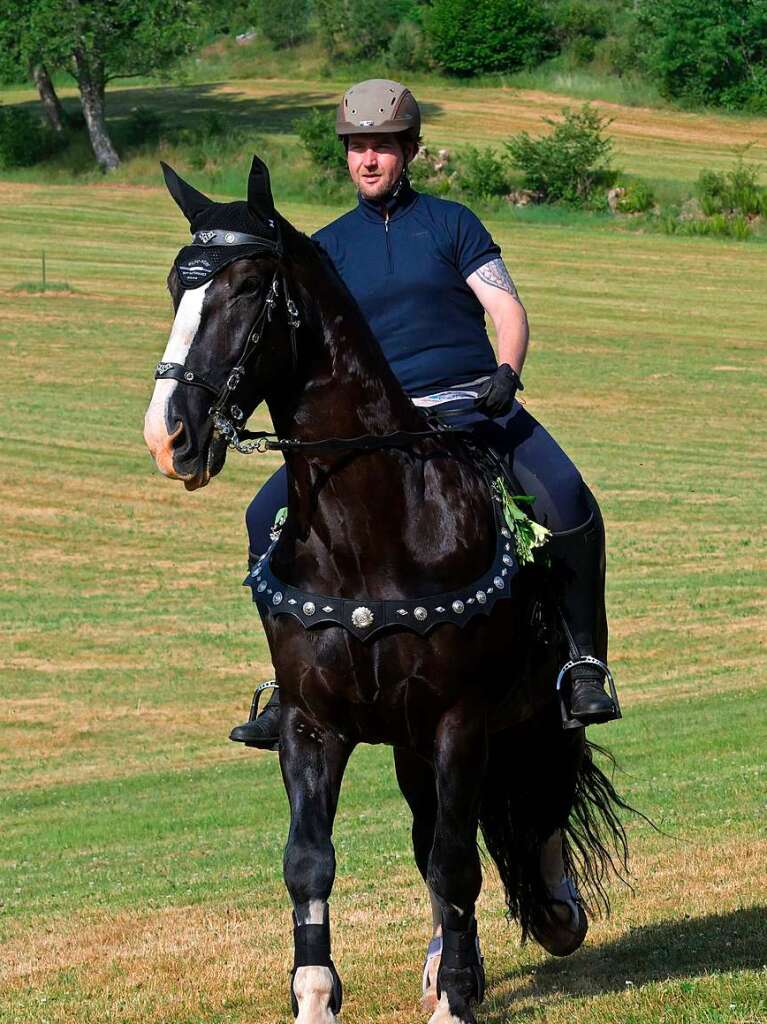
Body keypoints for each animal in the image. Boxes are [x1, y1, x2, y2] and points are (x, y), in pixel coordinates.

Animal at [145, 157, 626, 1024]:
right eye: (177, 284)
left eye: (247, 287)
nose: (170, 437)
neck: (372, 526)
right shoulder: (311, 727)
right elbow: (311, 861)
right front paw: (316, 996)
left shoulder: (459, 724)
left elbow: (457, 863)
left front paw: (458, 1001)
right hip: (408, 746)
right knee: (439, 835)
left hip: (535, 719)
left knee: (534, 808)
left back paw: (553, 910)